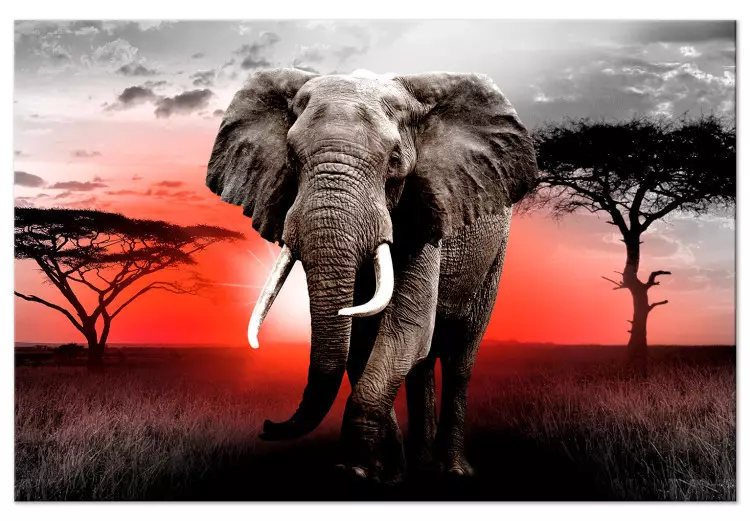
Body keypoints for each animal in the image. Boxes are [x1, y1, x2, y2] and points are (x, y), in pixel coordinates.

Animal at [206, 68, 537, 484]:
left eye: (394, 160)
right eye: (292, 157)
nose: (267, 425)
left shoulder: (422, 214)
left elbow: (407, 327)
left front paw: (355, 470)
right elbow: (363, 339)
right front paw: (382, 472)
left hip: (495, 254)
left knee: (460, 355)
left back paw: (453, 470)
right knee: (422, 362)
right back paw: (420, 463)